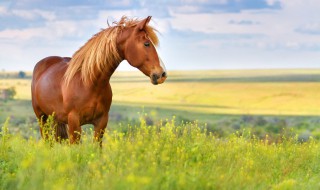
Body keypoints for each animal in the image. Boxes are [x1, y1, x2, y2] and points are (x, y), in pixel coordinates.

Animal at [31, 15, 168, 144]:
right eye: (146, 44)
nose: (162, 74)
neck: (89, 83)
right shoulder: (74, 123)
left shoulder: (101, 123)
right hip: (42, 119)